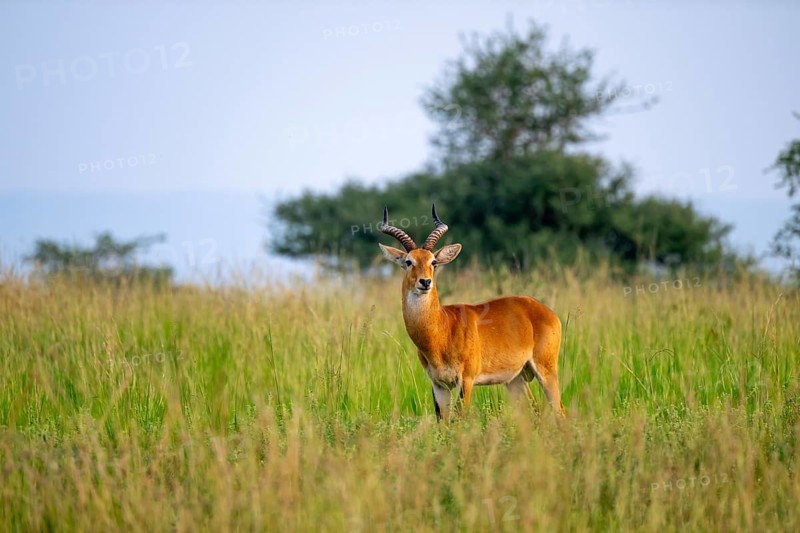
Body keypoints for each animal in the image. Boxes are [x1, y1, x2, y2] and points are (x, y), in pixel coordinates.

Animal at [378, 205, 565, 422]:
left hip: (546, 370)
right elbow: (443, 423)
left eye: (433, 262)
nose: (425, 282)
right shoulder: (438, 385)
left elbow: (461, 420)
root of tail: (544, 310)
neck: (442, 330)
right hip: (515, 380)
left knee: (560, 411)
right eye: (409, 261)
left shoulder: (466, 380)